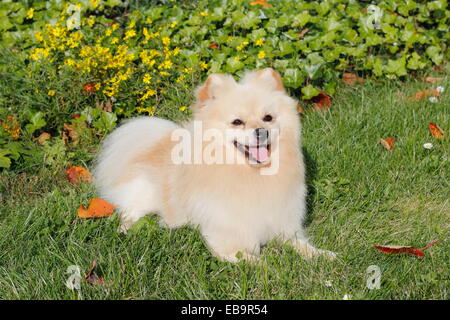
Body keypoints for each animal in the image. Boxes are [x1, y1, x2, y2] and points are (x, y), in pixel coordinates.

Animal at [94, 68, 334, 262]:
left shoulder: (283, 225)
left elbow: (302, 245)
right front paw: (269, 266)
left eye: (268, 118)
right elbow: (255, 261)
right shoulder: (226, 238)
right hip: (145, 194)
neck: (252, 175)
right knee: (129, 210)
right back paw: (126, 230)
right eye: (237, 122)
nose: (261, 131)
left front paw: (323, 255)